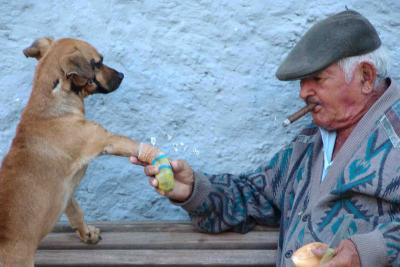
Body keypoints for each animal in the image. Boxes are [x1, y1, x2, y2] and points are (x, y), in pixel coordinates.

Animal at [0, 38, 143, 267]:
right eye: (98, 62)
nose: (122, 75)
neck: (52, 102)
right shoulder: (105, 139)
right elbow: (132, 144)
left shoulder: (67, 193)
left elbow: (76, 212)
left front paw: (87, 234)